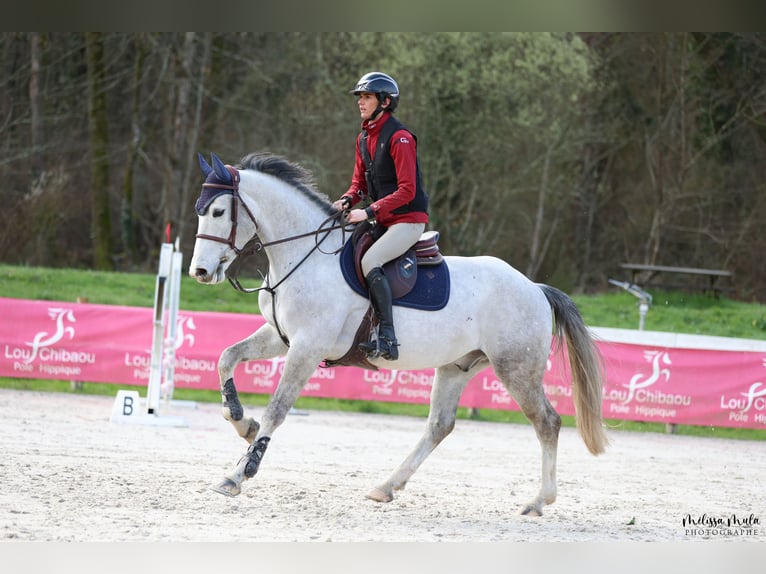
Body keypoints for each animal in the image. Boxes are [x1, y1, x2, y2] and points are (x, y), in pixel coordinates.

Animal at [189, 150, 608, 516]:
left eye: (219, 212)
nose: (200, 273)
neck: (303, 256)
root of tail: (535, 288)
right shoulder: (281, 337)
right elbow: (227, 357)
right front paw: (242, 422)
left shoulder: (308, 347)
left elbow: (277, 408)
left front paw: (238, 474)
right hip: (458, 366)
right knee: (440, 426)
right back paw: (386, 486)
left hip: (515, 368)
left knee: (547, 422)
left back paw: (539, 502)